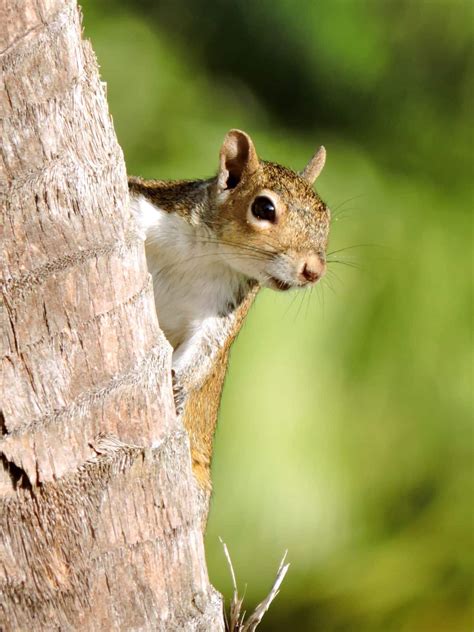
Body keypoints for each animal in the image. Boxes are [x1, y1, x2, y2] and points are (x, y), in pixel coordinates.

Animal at [128, 128, 332, 494]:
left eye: (327, 217)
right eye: (264, 207)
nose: (314, 271)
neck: (204, 253)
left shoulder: (225, 309)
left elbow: (207, 348)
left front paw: (178, 386)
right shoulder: (148, 206)